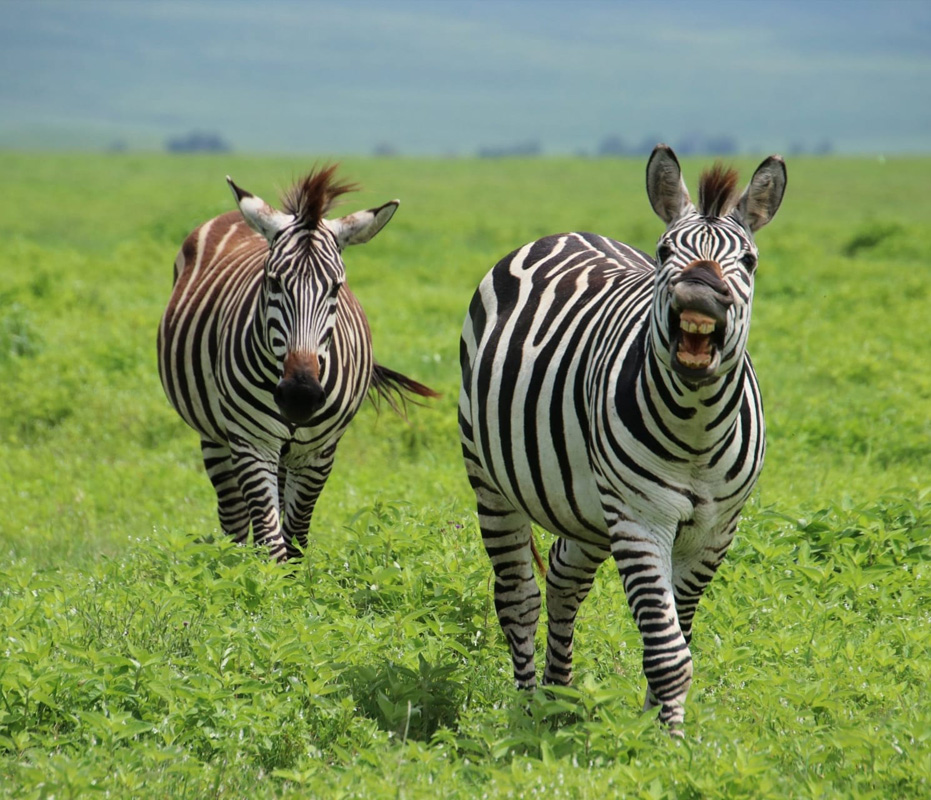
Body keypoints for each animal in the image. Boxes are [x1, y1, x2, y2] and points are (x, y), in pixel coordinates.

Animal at [158, 166, 437, 562]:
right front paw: (264, 580)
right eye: (273, 282)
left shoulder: (319, 453)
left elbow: (295, 540)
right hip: (214, 435)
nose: (300, 396)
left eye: (336, 288)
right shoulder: (252, 442)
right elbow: (272, 542)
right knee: (233, 519)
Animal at [459, 145, 786, 731]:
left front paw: (658, 726)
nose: (700, 290)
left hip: (586, 504)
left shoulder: (715, 532)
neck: (698, 425)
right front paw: (666, 741)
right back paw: (527, 710)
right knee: (518, 596)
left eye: (748, 261)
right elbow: (668, 651)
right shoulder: (640, 518)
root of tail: (566, 232)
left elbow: (678, 638)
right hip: (491, 480)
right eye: (664, 252)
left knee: (563, 578)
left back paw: (558, 696)